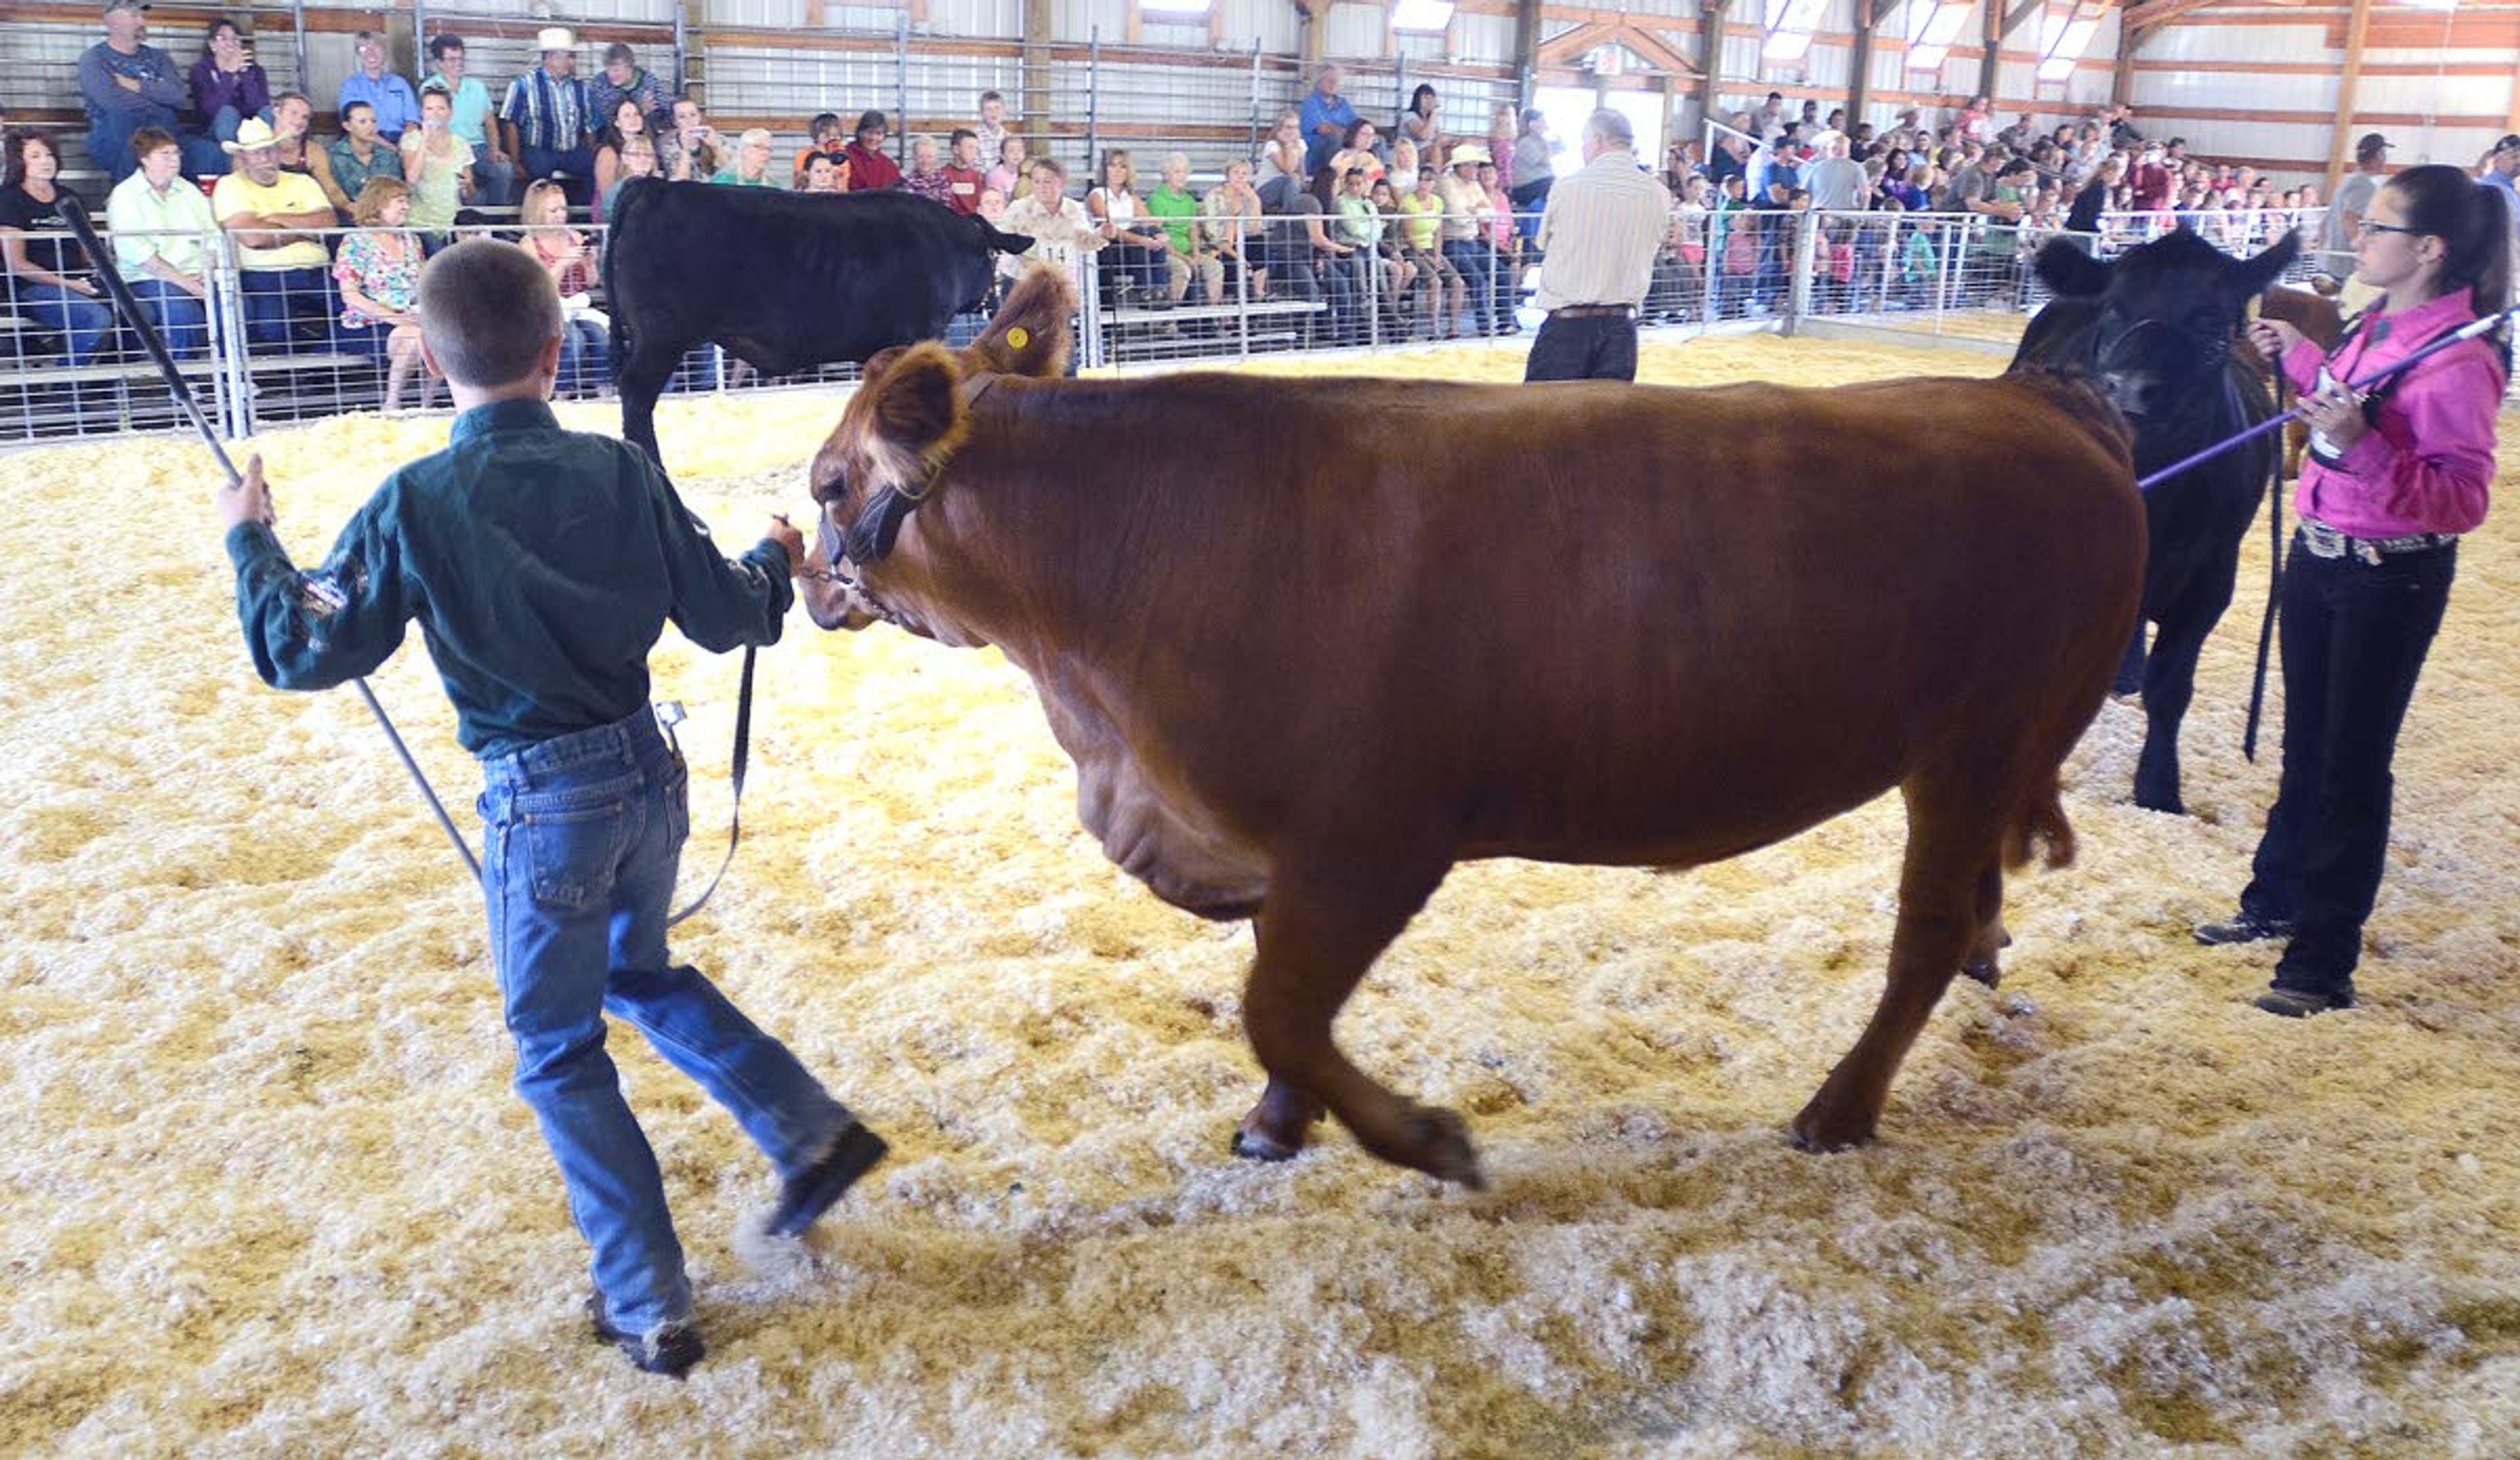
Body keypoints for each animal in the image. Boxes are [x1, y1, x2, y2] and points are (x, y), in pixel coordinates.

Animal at [602, 179, 1033, 463]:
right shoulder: (918, 333)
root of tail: (656, 186)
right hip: (662, 337)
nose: (1003, 297)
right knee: (637, 394)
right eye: (994, 260)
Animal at [796, 270, 2137, 1190]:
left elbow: (1280, 1005)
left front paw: (1422, 1138)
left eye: (829, 483)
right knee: (1971, 907)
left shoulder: (1371, 840)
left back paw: (1836, 1111)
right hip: (1984, 756)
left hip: (1972, 744)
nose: (807, 584)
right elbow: (1280, 1000)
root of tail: (2039, 404)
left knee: (1924, 933)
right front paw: (1279, 1123)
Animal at [2016, 234, 2298, 817]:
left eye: (2211, 320)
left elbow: (2171, 689)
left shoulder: (2211, 579)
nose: (2129, 389)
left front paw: (2160, 789)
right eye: (2114, 309)